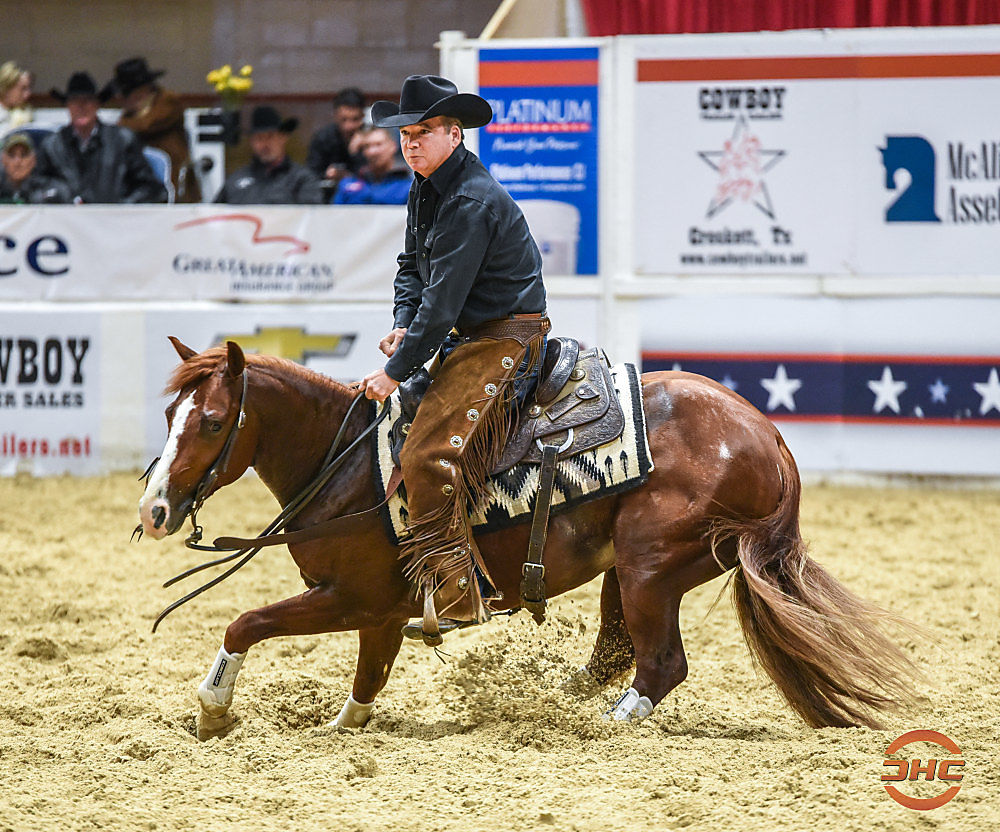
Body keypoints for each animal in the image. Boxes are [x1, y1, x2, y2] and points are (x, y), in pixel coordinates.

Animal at [138, 337, 919, 738]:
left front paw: (212, 710)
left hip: (652, 565)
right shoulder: (382, 613)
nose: (154, 509)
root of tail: (770, 438)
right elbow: (368, 679)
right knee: (616, 654)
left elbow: (244, 622)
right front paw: (343, 726)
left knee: (660, 664)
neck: (350, 465)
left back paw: (608, 721)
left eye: (212, 421)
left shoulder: (352, 598)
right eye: (171, 411)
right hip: (632, 572)